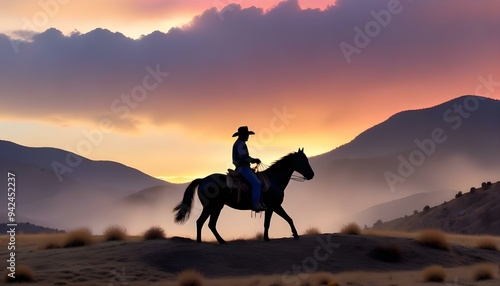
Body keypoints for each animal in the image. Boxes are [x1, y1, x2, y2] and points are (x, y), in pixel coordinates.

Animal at [172, 147, 312, 244]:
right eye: (303, 160)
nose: (312, 174)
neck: (274, 180)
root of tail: (203, 180)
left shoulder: (270, 208)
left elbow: (267, 223)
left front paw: (266, 238)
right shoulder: (275, 206)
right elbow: (289, 219)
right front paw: (296, 235)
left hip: (217, 207)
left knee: (210, 224)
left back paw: (220, 241)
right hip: (211, 206)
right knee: (201, 222)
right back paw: (204, 241)